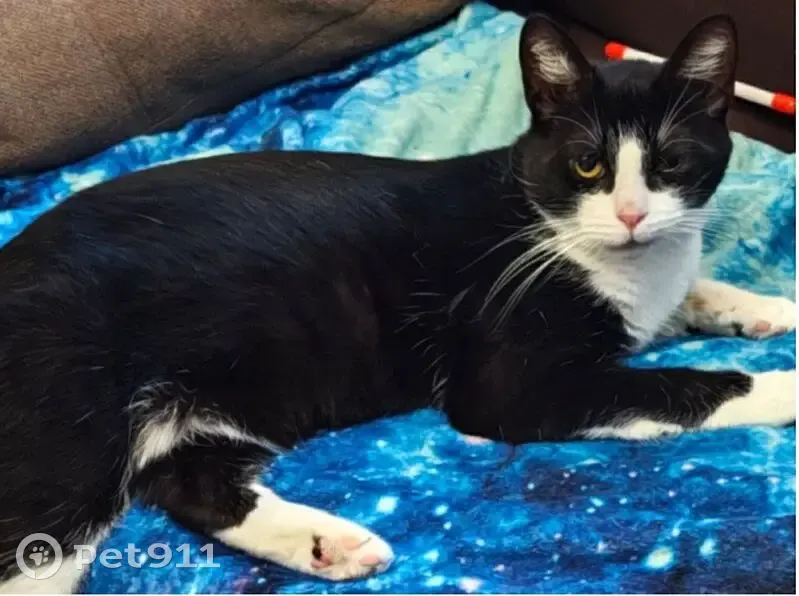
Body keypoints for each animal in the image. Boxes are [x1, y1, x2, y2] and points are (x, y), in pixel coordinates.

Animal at [0, 12, 795, 594]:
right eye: (587, 165)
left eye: (670, 162)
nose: (631, 216)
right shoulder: (505, 383)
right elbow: (678, 385)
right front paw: (782, 383)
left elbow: (689, 290)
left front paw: (764, 306)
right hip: (67, 433)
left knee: (191, 478)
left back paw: (328, 544)